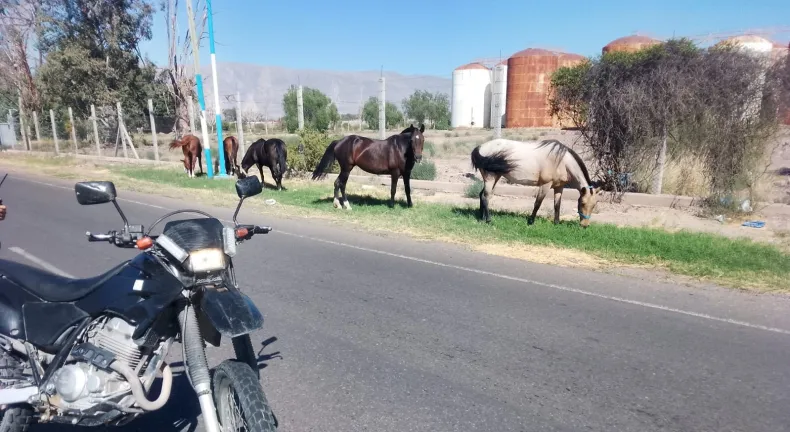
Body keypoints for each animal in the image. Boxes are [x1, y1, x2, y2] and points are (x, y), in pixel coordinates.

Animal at [470, 138, 599, 227]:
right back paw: (488, 220)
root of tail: (480, 147)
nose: (584, 225)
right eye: (582, 203)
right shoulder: (545, 185)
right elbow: (538, 203)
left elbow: (557, 205)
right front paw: (531, 221)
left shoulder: (559, 187)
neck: (561, 161)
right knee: (486, 196)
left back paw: (481, 218)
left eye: (594, 205)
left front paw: (556, 223)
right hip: (490, 178)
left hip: (495, 177)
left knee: (481, 195)